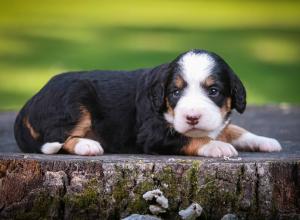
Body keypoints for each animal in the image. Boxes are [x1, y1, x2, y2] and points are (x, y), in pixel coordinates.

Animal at [14, 49, 282, 157]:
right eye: (175, 92)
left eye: (213, 91)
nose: (192, 117)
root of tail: (29, 103)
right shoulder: (152, 134)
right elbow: (190, 138)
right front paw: (216, 146)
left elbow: (233, 129)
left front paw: (265, 140)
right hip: (75, 99)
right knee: (58, 138)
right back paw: (87, 145)